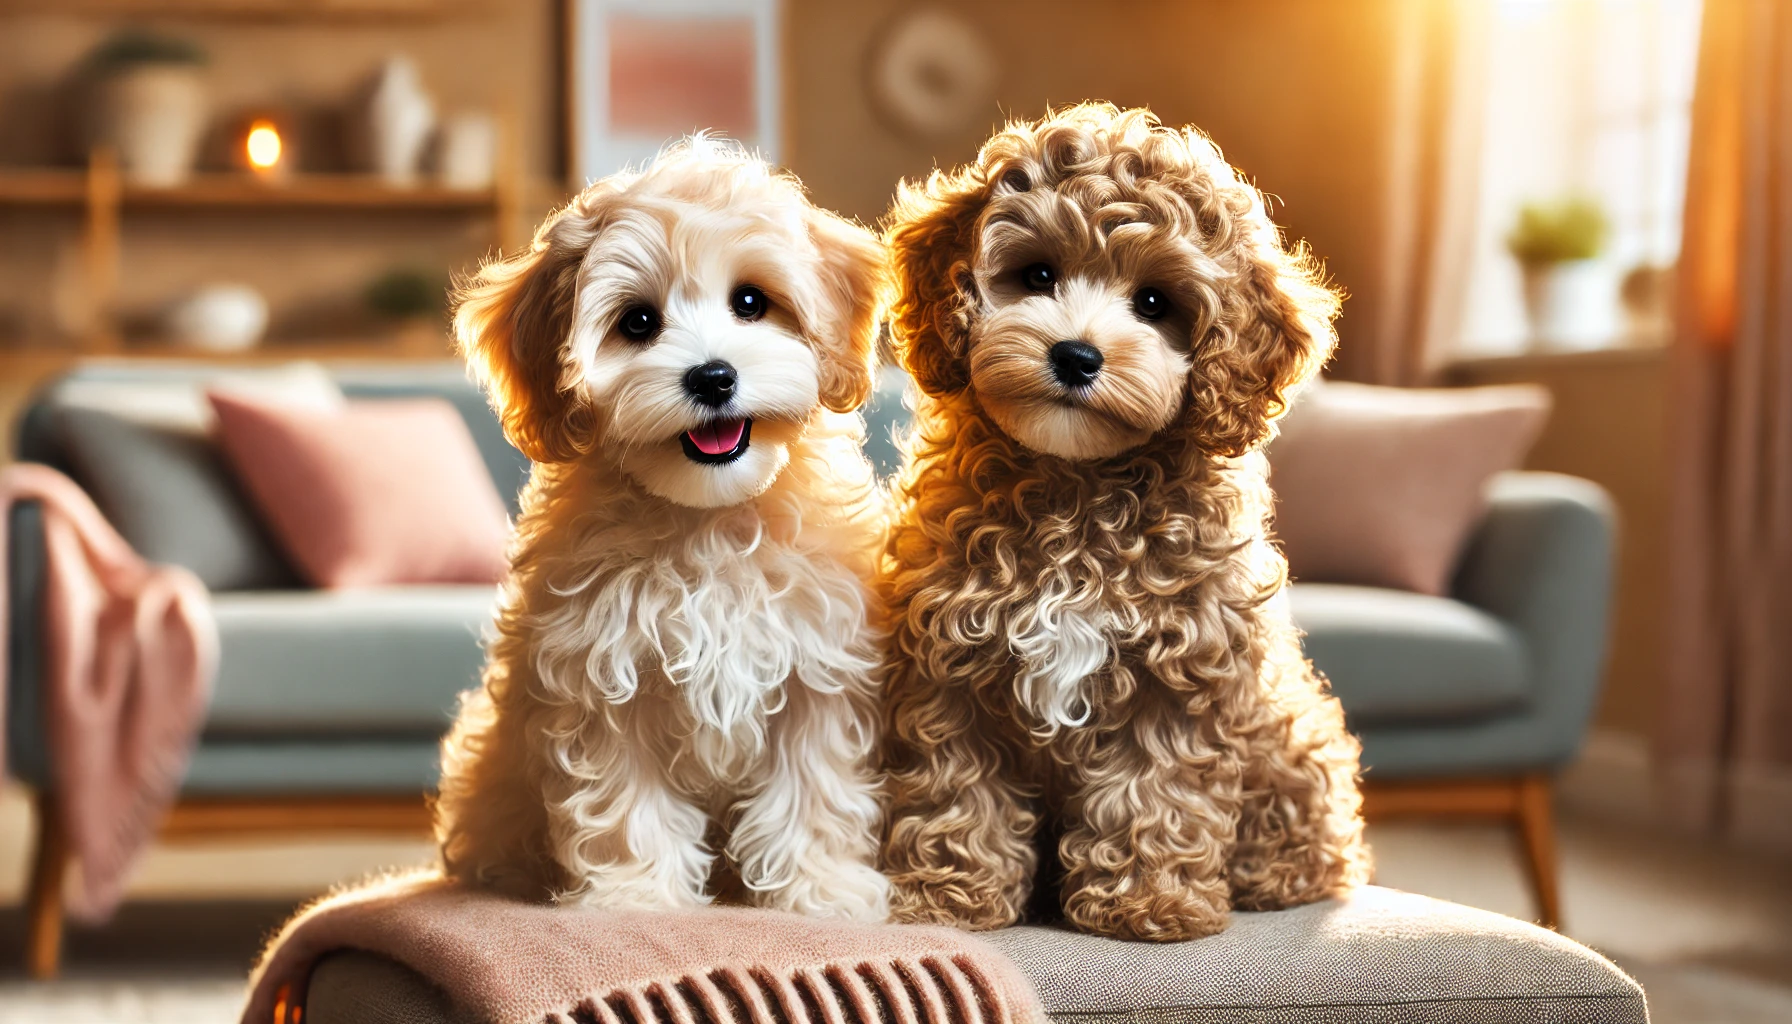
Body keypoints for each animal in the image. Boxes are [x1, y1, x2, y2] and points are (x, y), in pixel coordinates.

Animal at [435, 138, 896, 918]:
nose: (712, 377)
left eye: (751, 302)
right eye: (637, 323)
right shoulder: (599, 670)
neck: (707, 521)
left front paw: (820, 890)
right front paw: (636, 897)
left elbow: (811, 787)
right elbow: (627, 800)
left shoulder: (817, 668)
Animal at [874, 102, 1361, 939]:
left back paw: (1277, 877)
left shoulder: (1178, 675)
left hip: (1292, 734)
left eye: (1156, 303)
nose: (1076, 355)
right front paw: (946, 896)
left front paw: (1148, 902)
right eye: (1038, 274)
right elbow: (955, 789)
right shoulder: (947, 667)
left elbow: (1153, 790)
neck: (1075, 488)